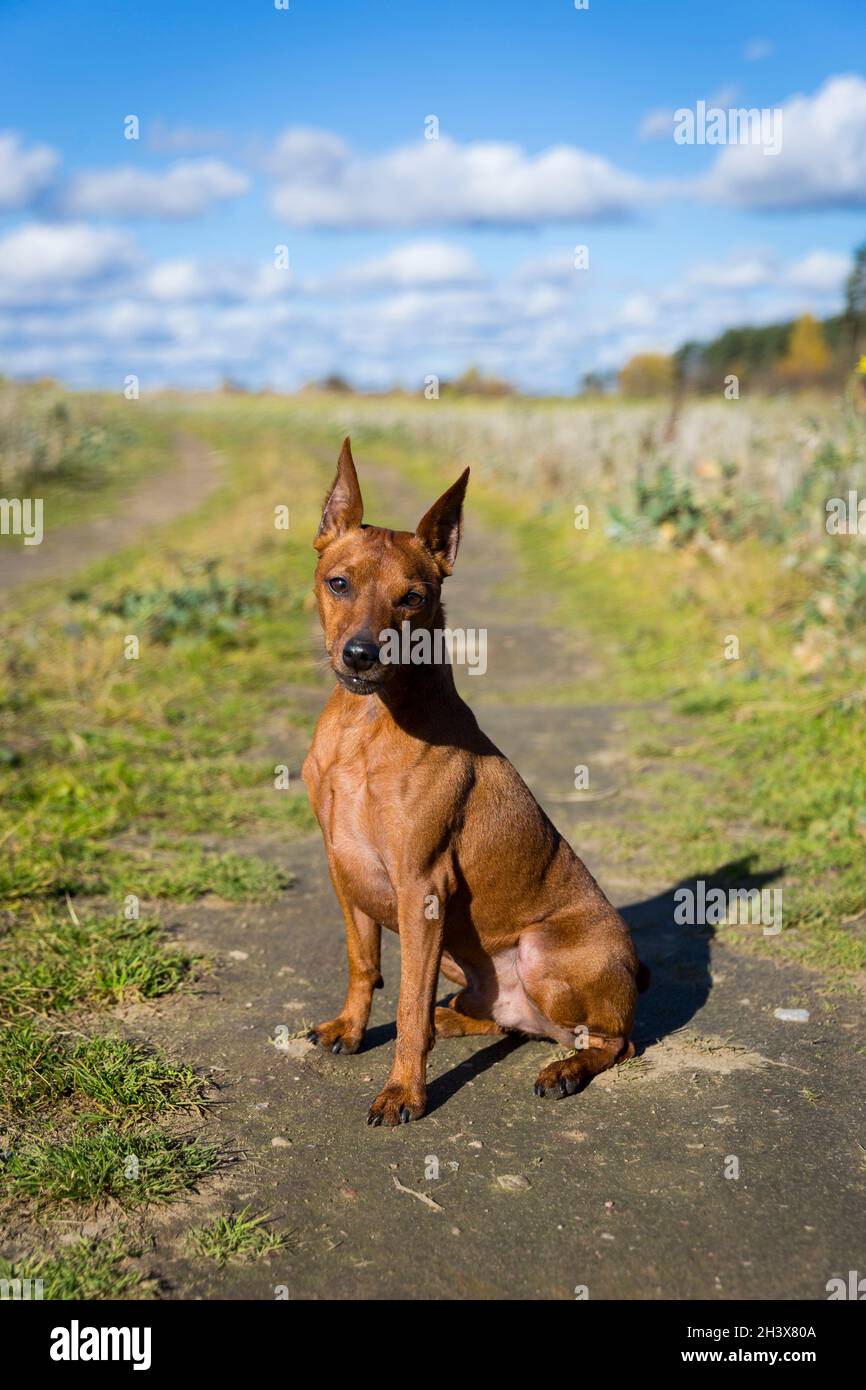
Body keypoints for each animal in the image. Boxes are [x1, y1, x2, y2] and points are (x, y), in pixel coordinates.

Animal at [301, 439, 647, 1123]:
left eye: (412, 598)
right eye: (338, 583)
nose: (360, 655)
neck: (364, 727)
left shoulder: (421, 887)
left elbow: (406, 1003)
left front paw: (403, 1090)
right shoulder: (344, 871)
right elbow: (363, 963)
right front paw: (351, 1029)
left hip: (542, 954)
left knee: (612, 1039)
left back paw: (565, 1068)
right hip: (468, 965)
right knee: (493, 1019)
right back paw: (459, 1021)